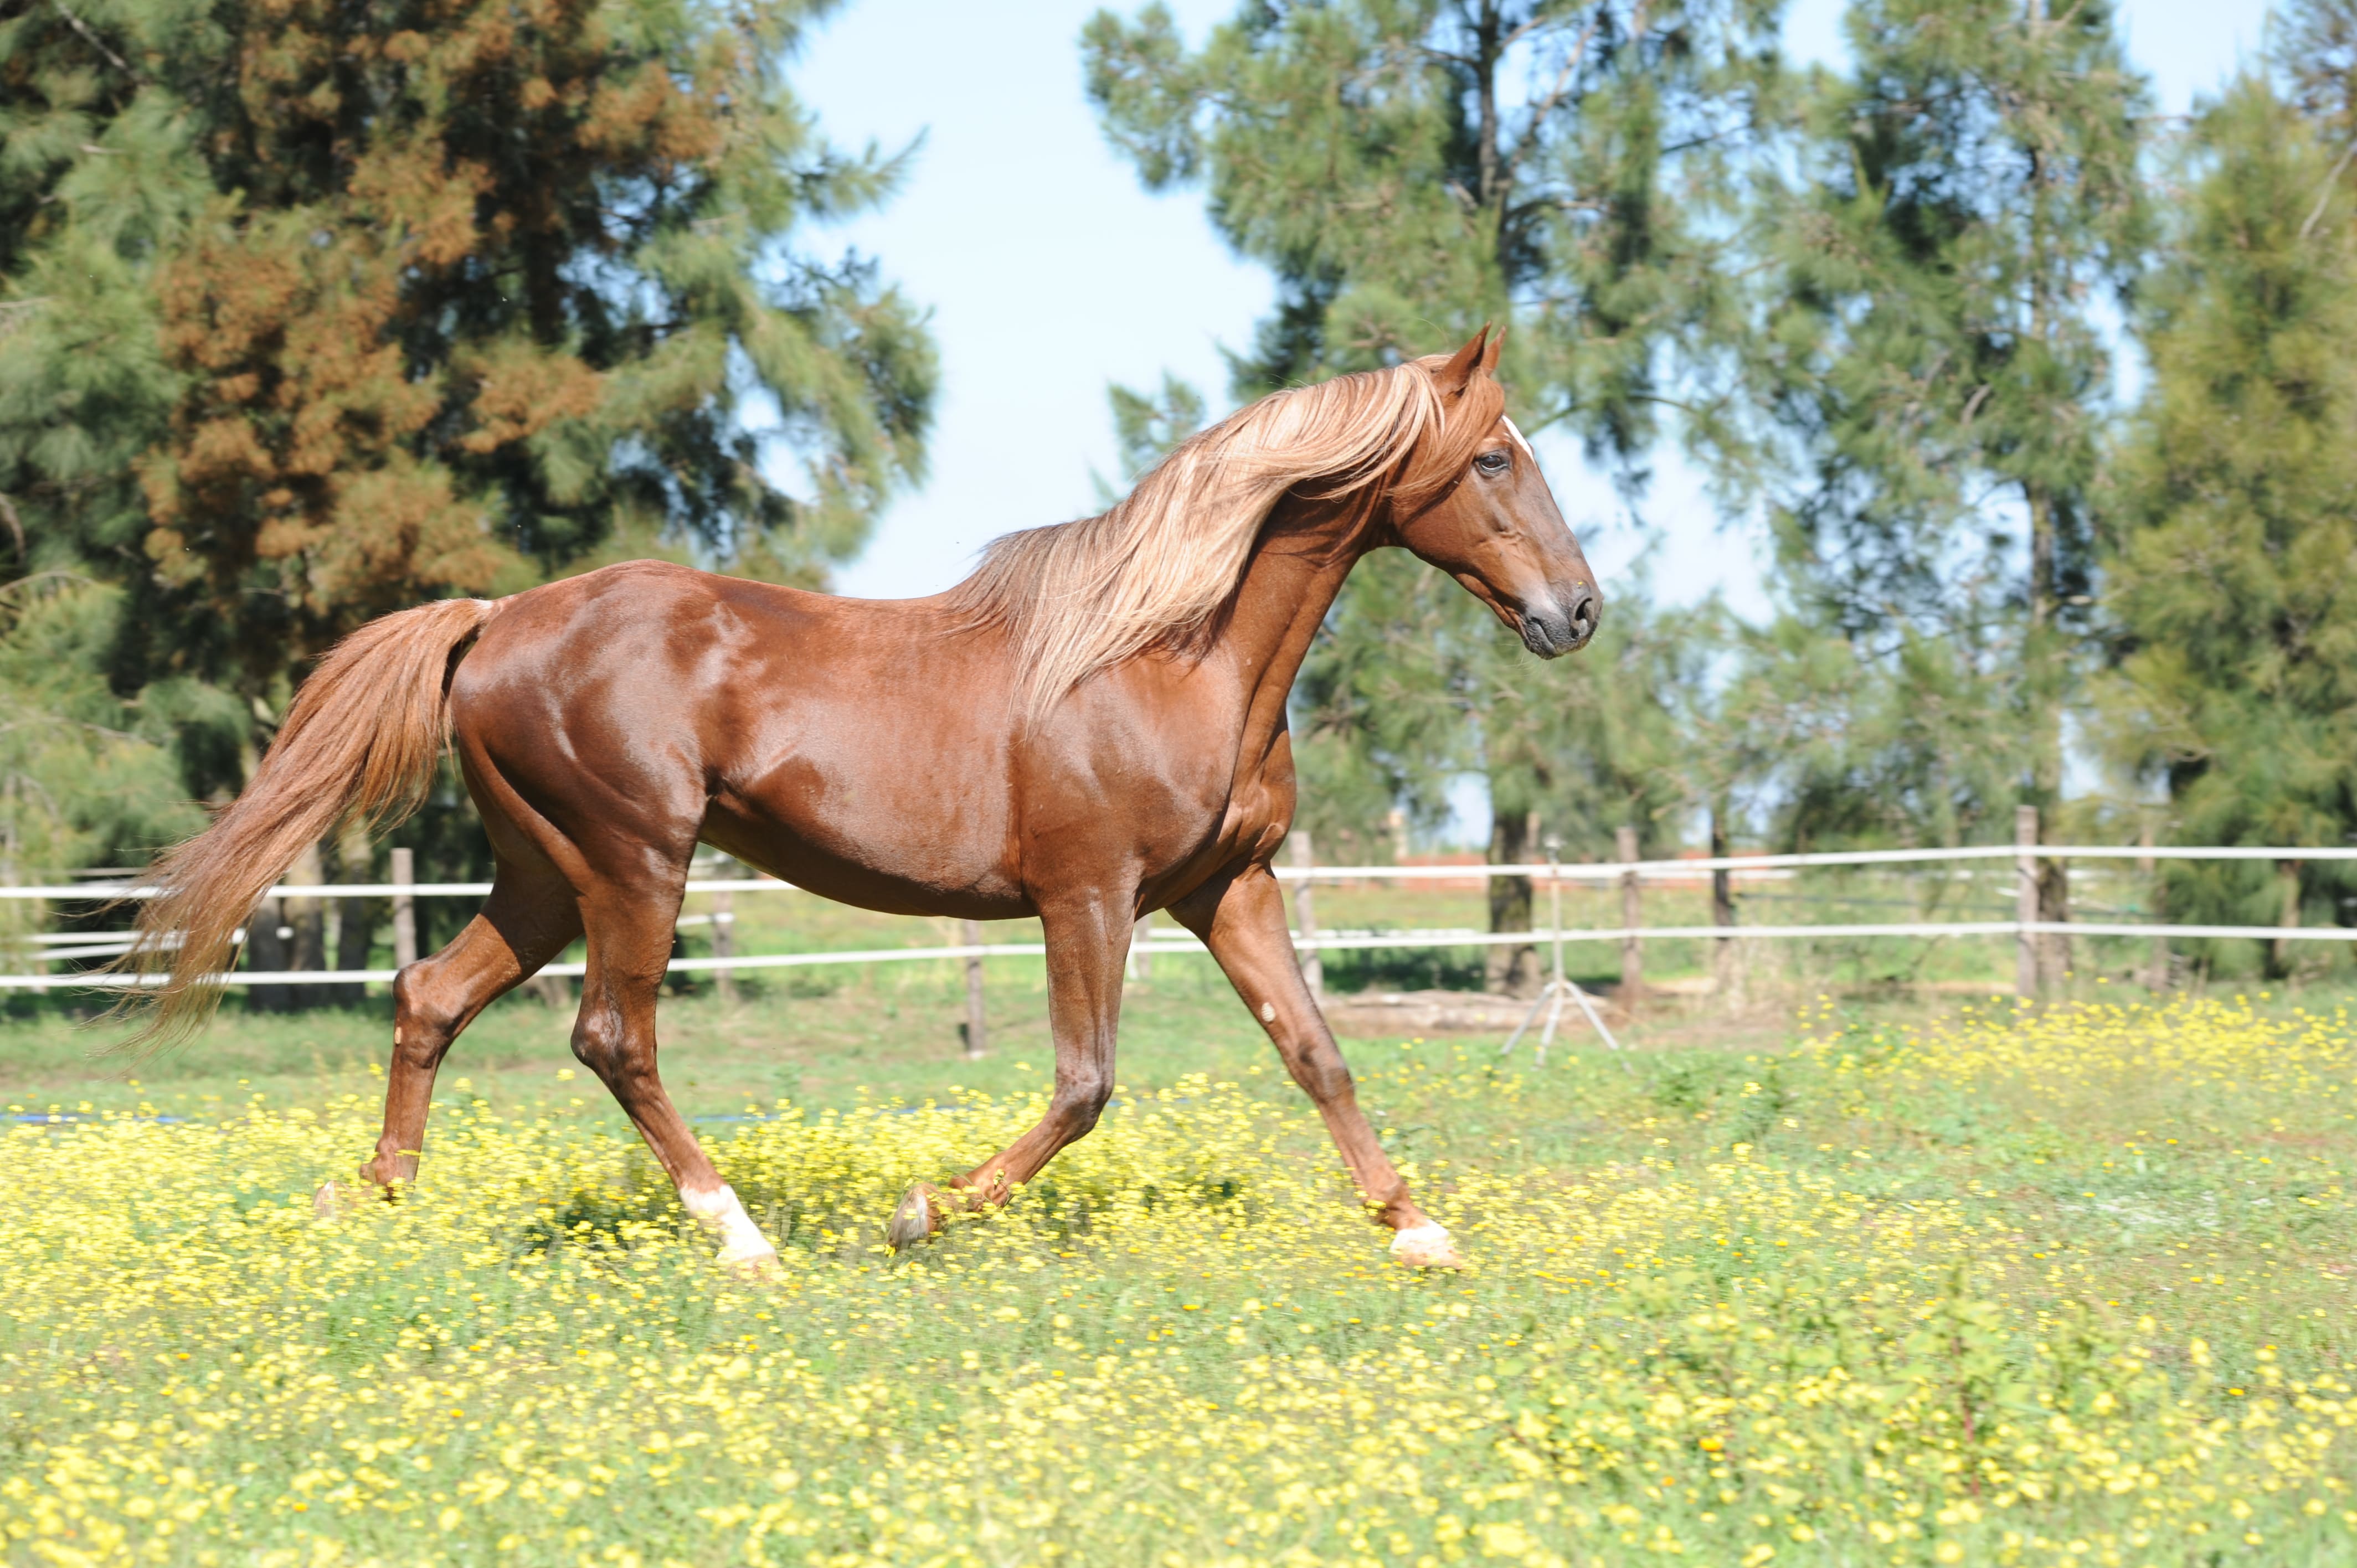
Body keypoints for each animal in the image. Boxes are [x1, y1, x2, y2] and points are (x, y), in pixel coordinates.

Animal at [121, 327, 1599, 1271]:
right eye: (1493, 461)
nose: (1577, 613)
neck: (1172, 654)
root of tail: (493, 620)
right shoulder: (1089, 896)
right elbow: (1084, 1086)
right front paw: (919, 1213)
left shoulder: (1226, 887)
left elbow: (1317, 1053)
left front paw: (1420, 1231)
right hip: (635, 862)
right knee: (612, 1038)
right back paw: (740, 1238)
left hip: (542, 873)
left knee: (430, 997)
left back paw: (377, 1204)